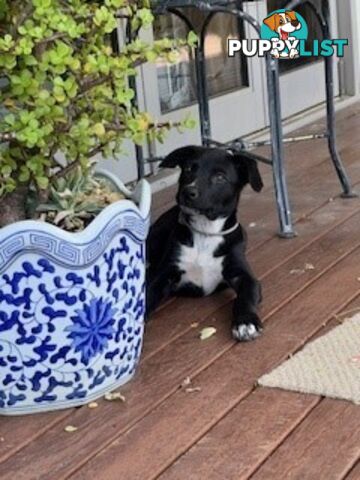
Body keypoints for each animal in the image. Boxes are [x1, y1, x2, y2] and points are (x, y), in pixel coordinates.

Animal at [146, 146, 264, 342]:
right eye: (188, 169)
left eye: (220, 177)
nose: (188, 192)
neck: (205, 232)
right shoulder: (164, 274)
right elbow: (145, 296)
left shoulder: (244, 276)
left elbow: (246, 296)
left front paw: (246, 322)